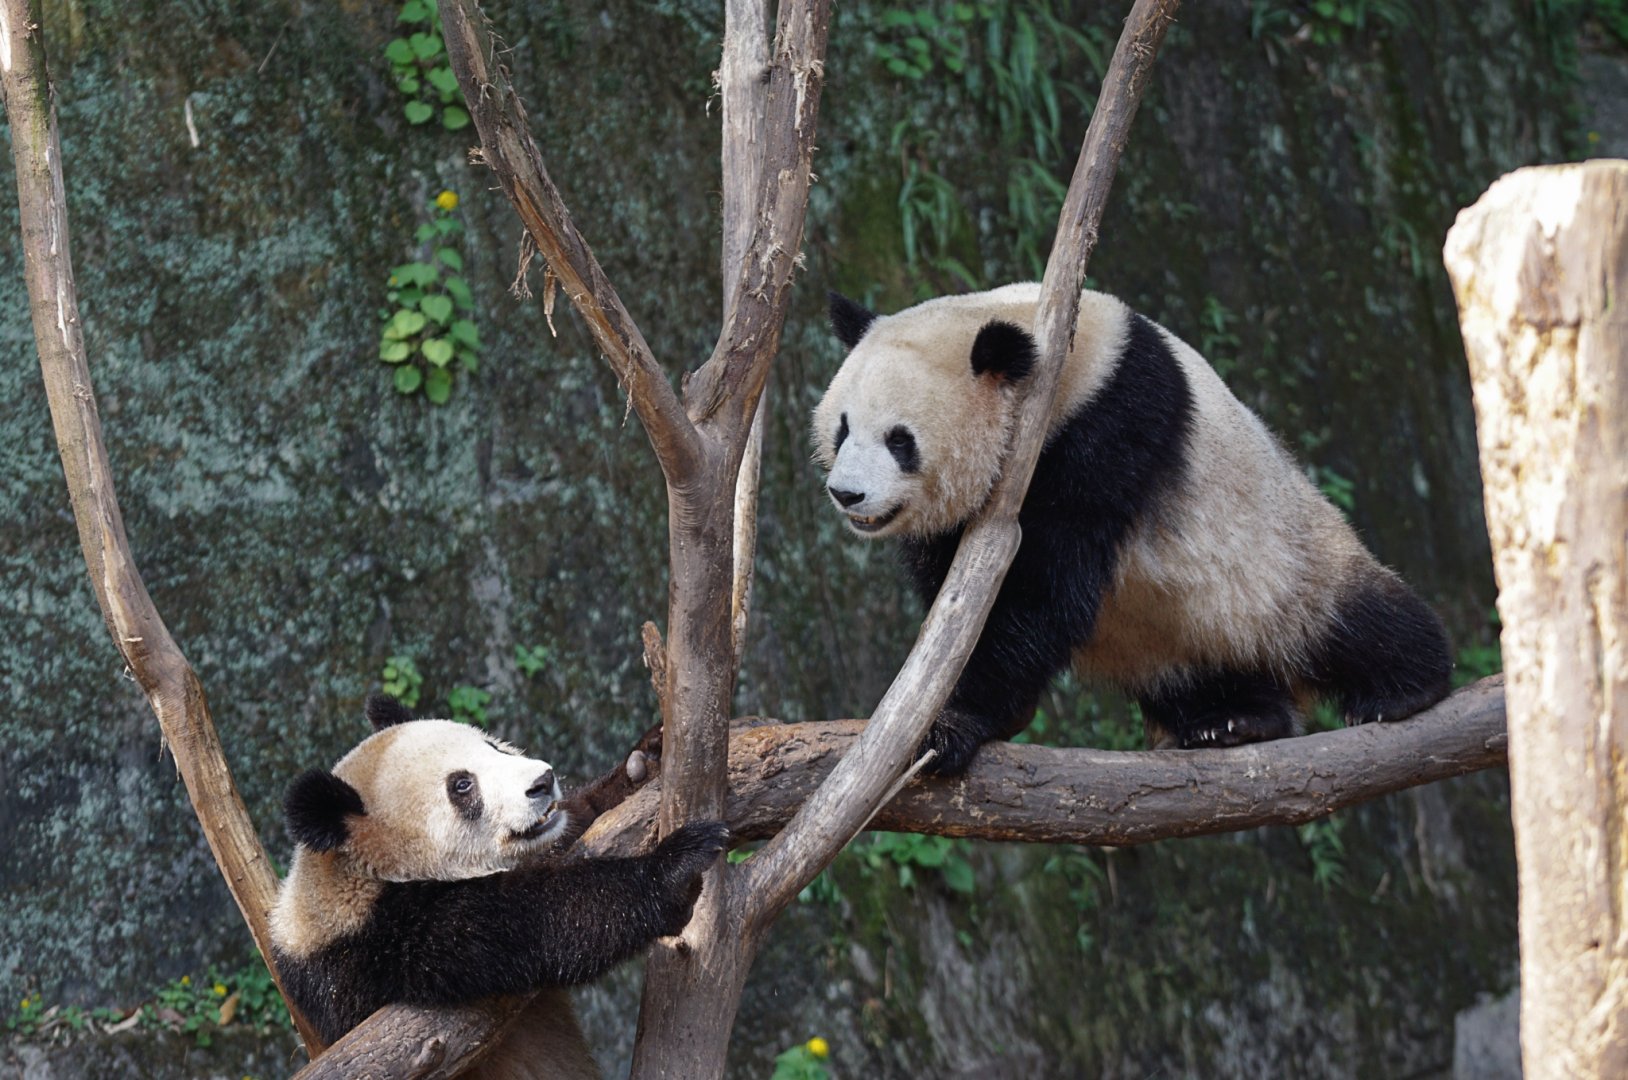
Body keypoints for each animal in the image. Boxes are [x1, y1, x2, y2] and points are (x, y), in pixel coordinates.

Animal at [269, 696, 727, 1079]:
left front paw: (646, 758)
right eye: (462, 785)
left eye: (494, 747)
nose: (543, 781)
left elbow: (579, 819)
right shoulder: (379, 949)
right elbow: (530, 922)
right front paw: (675, 868)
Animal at [813, 282, 1452, 776]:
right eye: (843, 428)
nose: (847, 494)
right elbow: (959, 592)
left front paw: (955, 722)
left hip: (1280, 559)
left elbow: (1044, 583)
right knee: (1198, 673)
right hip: (1173, 638)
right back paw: (1234, 719)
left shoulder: (1110, 428)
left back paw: (1401, 690)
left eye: (900, 440)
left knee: (1349, 617)